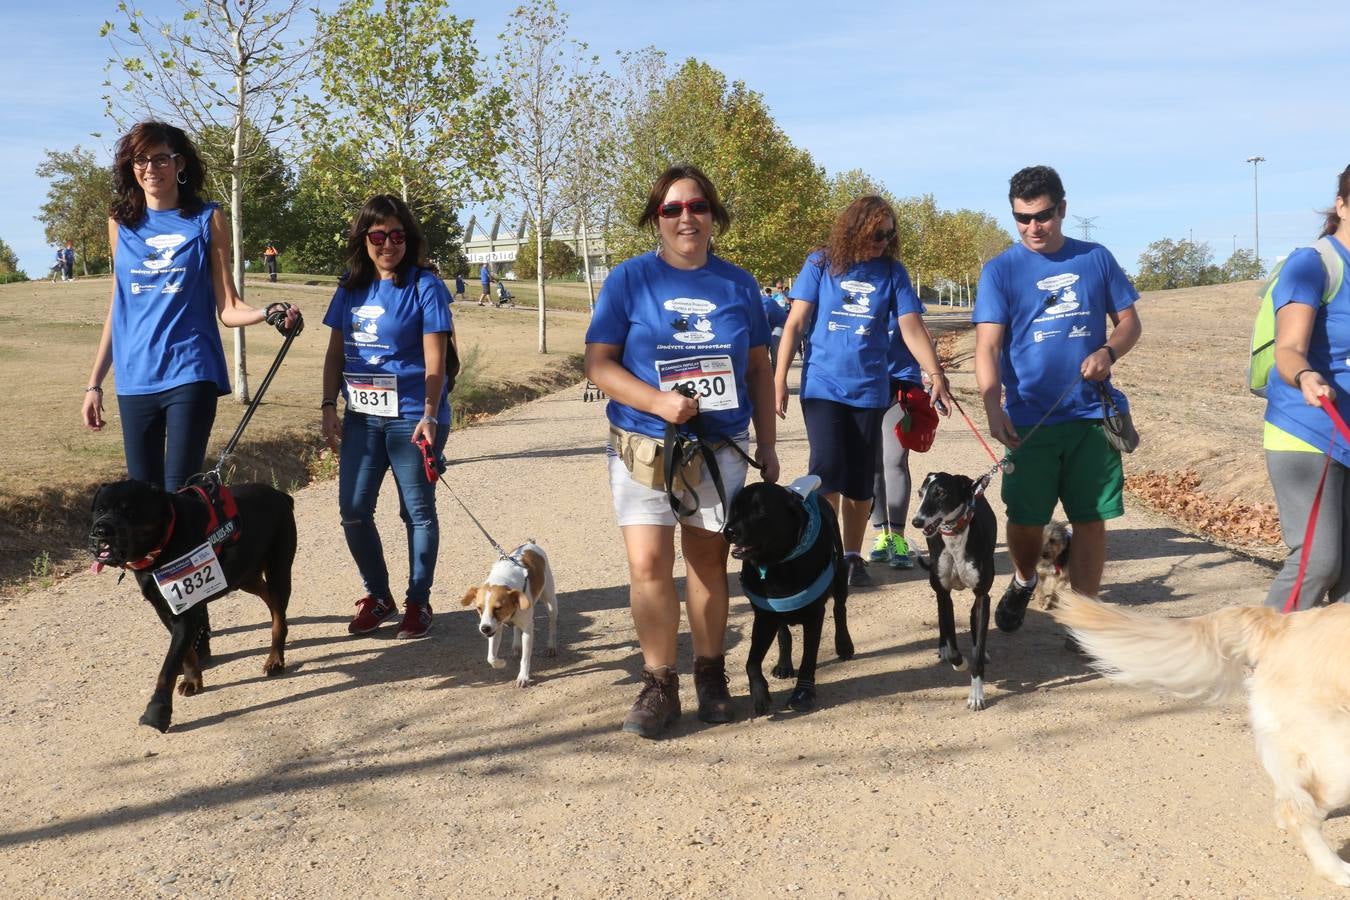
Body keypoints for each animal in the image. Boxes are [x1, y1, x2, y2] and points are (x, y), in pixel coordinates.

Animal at [89, 477, 295, 734]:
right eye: (100, 509)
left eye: (129, 511)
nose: (101, 529)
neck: (165, 541)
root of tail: (279, 494)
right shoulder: (165, 609)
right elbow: (185, 653)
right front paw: (192, 679)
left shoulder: (186, 611)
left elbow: (168, 667)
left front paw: (158, 711)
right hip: (244, 576)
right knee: (271, 600)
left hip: (278, 569)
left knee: (278, 614)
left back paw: (275, 658)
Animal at [723, 474, 847, 712]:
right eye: (734, 509)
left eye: (760, 511)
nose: (728, 531)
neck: (779, 564)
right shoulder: (764, 616)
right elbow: (752, 661)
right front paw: (759, 693)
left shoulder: (814, 616)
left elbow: (808, 658)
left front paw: (804, 692)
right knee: (784, 632)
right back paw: (784, 665)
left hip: (840, 577)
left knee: (840, 610)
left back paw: (845, 644)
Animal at [912, 472, 999, 712]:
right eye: (920, 493)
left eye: (940, 493)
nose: (917, 521)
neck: (955, 537)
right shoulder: (944, 594)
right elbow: (952, 643)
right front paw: (959, 662)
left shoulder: (982, 595)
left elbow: (977, 652)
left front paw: (976, 695)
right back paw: (943, 647)